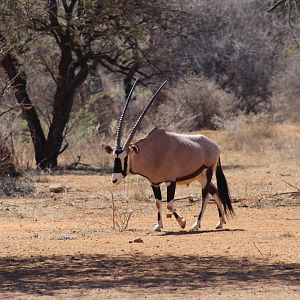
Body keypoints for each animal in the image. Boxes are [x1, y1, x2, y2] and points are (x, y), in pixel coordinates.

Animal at [103, 79, 234, 232]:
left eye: (125, 157)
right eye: (114, 157)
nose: (114, 179)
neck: (152, 152)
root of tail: (215, 146)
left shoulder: (171, 181)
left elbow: (169, 204)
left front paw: (182, 222)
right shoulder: (154, 182)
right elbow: (158, 202)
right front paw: (159, 226)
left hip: (207, 173)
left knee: (206, 196)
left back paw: (196, 224)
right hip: (200, 176)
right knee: (215, 192)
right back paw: (220, 222)